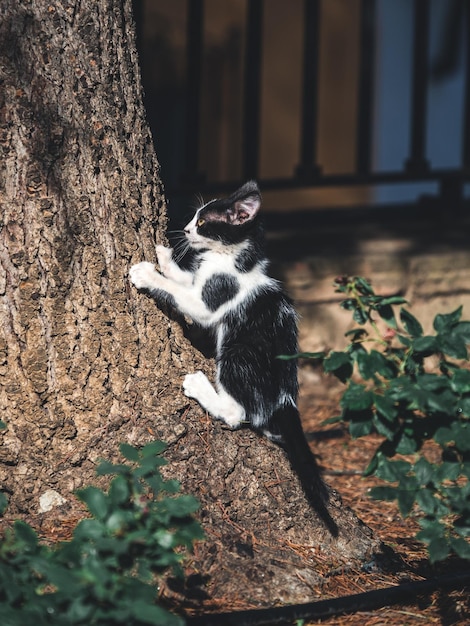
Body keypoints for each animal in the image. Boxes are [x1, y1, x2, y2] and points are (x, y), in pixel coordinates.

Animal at [129, 179, 336, 532]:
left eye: (202, 222)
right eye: (194, 218)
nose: (185, 229)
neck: (231, 258)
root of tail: (286, 399)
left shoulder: (211, 299)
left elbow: (182, 294)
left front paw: (147, 273)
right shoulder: (200, 278)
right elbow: (184, 278)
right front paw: (165, 256)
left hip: (237, 354)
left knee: (237, 414)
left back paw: (199, 386)